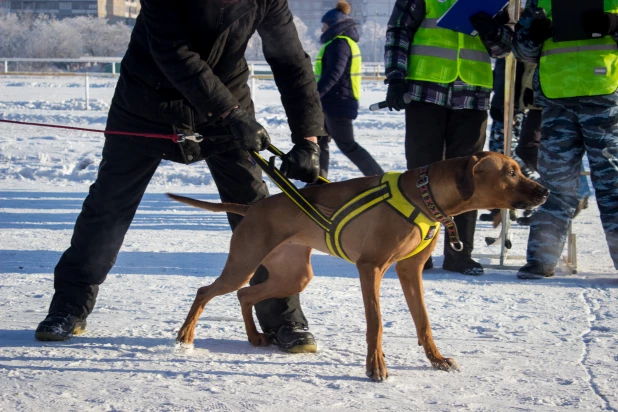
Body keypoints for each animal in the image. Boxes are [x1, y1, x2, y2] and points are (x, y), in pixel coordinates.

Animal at [167, 153, 544, 382]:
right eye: (510, 172)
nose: (545, 191)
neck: (426, 197)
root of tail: (253, 207)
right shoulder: (370, 268)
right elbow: (375, 323)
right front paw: (375, 367)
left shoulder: (410, 271)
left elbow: (424, 322)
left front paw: (436, 359)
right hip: (244, 262)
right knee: (206, 290)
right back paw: (185, 337)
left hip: (293, 275)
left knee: (246, 294)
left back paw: (254, 336)